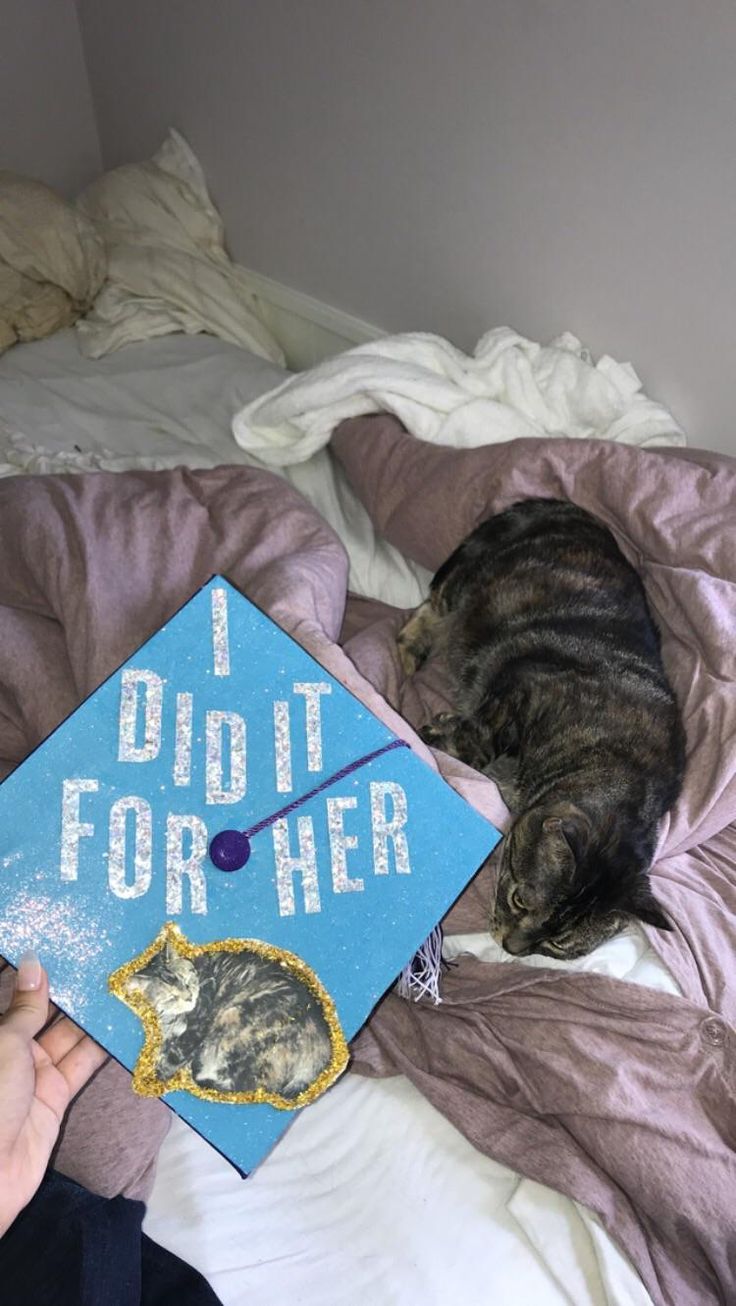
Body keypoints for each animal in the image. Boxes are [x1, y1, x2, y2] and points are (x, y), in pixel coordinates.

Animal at [125, 940, 334, 1102]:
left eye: (187, 982)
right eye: (171, 997)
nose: (190, 998)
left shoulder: (196, 1026)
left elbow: (168, 1063)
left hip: (234, 1018)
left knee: (251, 1086)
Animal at [396, 496, 683, 961]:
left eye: (557, 943)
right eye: (519, 900)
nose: (513, 948)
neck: (618, 761)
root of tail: (560, 505)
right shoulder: (520, 690)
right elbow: (478, 740)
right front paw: (433, 735)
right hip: (468, 577)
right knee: (433, 606)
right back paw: (411, 655)